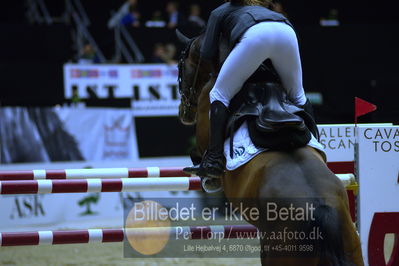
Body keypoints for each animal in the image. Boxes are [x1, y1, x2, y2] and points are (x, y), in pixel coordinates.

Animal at [177, 31, 364, 266]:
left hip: (276, 251)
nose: (183, 113)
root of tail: (321, 210)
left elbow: (199, 155)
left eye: (180, 67)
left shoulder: (204, 134)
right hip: (352, 246)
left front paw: (207, 177)